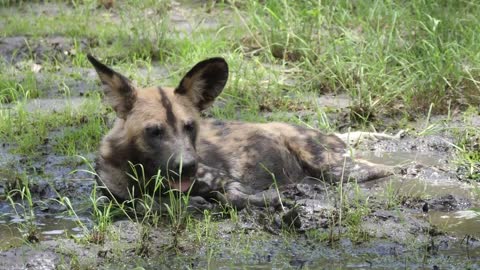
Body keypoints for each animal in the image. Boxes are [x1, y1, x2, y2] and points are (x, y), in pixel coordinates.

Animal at [87, 54, 394, 210]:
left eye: (190, 126)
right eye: (154, 131)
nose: (187, 166)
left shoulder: (223, 179)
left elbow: (231, 197)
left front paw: (273, 199)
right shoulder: (112, 198)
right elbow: (142, 204)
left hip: (335, 167)